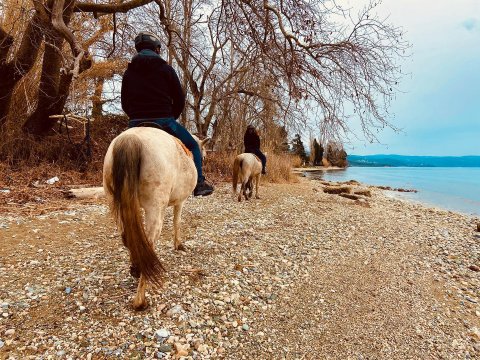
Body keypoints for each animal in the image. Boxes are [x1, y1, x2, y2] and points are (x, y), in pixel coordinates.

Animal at [103, 126, 208, 310]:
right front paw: (179, 245)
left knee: (129, 238)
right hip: (155, 209)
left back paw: (136, 270)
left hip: (115, 204)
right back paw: (140, 301)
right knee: (148, 245)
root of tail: (130, 139)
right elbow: (177, 222)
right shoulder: (180, 202)